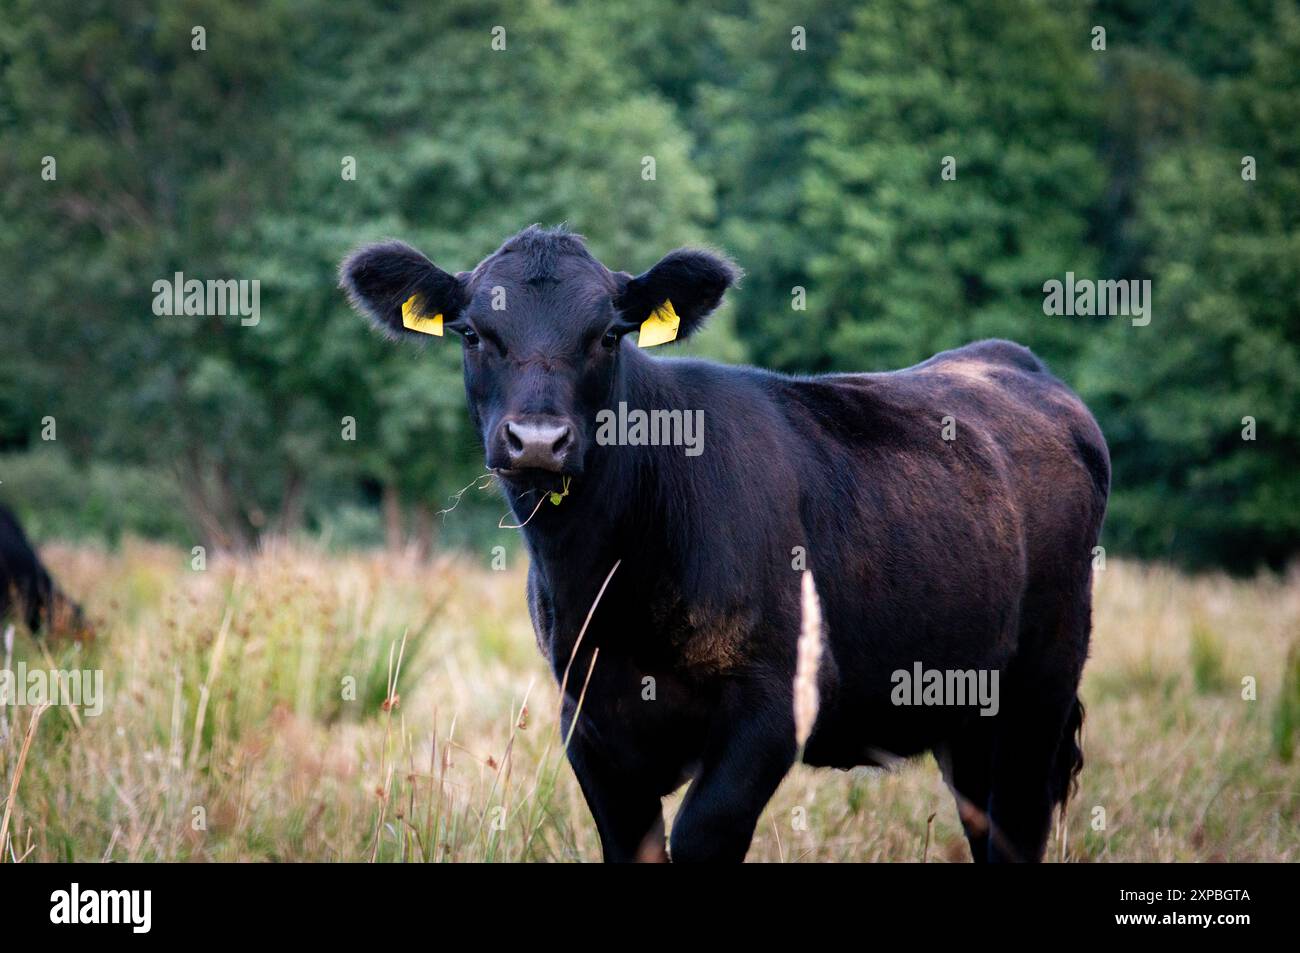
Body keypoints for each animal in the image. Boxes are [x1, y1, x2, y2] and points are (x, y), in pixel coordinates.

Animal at [340, 225, 1109, 863]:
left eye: (609, 335)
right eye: (473, 333)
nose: (537, 440)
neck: (613, 582)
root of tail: (1013, 362)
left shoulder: (775, 700)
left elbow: (700, 837)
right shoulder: (586, 721)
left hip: (1041, 685)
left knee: (1017, 826)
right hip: (968, 707)